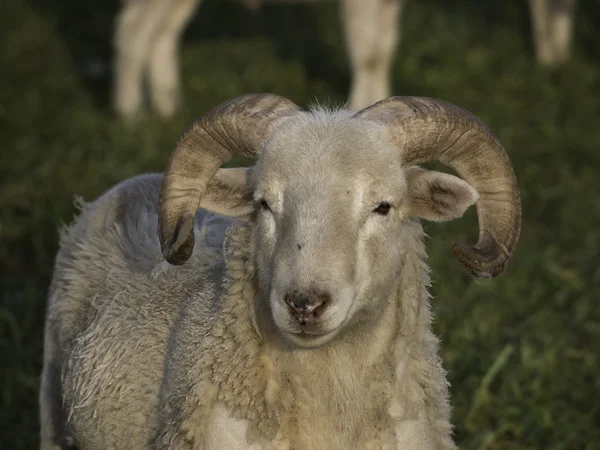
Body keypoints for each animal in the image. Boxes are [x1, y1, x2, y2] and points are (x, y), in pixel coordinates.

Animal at [113, 0, 404, 119]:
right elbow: (368, 53)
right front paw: (359, 108)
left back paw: (167, 106)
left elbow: (384, 49)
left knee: (164, 32)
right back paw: (131, 114)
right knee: (132, 31)